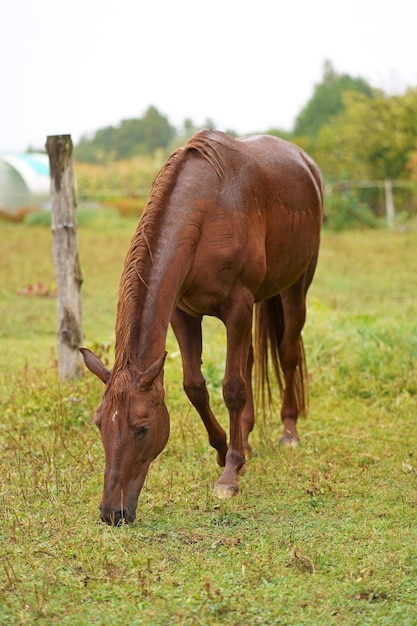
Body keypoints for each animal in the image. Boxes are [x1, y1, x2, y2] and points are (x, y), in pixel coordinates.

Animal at [80, 129, 322, 524]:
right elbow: (196, 386)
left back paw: (289, 431)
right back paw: (246, 437)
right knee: (250, 361)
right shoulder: (183, 313)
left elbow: (233, 387)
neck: (207, 211)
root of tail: (304, 162)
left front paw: (230, 475)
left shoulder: (237, 307)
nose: (112, 512)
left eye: (143, 428)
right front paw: (226, 450)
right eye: (100, 423)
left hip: (295, 287)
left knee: (287, 354)